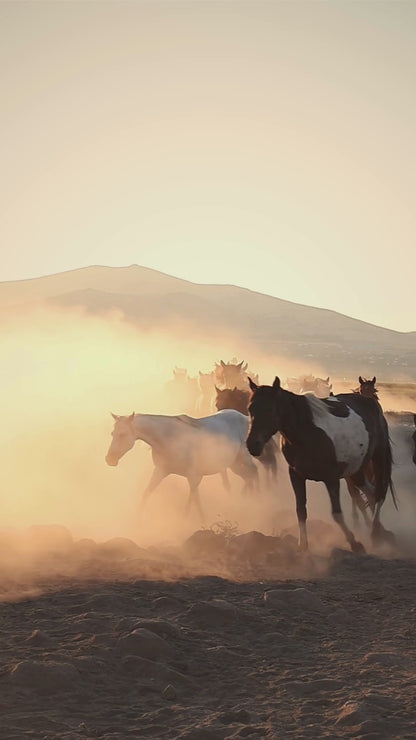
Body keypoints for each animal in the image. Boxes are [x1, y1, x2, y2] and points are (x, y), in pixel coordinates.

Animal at [105, 409, 259, 521]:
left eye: (123, 434)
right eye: (112, 433)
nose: (109, 459)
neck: (169, 438)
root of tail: (245, 417)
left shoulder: (192, 475)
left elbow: (195, 499)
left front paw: (201, 520)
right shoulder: (161, 471)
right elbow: (146, 493)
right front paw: (136, 521)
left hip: (243, 459)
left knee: (253, 473)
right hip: (234, 465)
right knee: (248, 477)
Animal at [246, 377, 397, 553]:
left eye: (270, 409)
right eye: (250, 408)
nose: (252, 445)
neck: (307, 433)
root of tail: (371, 403)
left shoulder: (331, 478)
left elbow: (336, 513)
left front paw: (354, 543)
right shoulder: (296, 475)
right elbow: (300, 510)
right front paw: (303, 545)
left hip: (378, 458)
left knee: (379, 493)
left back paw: (375, 533)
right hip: (356, 470)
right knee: (371, 493)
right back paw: (379, 532)